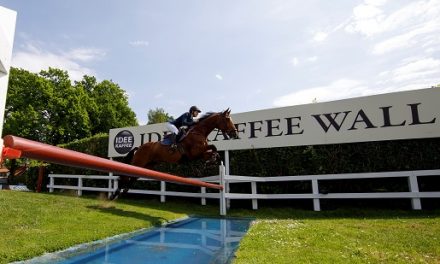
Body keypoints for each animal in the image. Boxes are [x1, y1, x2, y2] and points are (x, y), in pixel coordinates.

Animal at [111, 108, 239, 199]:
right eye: (227, 119)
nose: (235, 134)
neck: (199, 132)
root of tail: (139, 147)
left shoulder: (199, 153)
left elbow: (213, 151)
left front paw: (211, 160)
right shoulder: (194, 153)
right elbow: (213, 147)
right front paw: (211, 160)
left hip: (148, 165)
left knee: (133, 177)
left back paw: (123, 192)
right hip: (139, 162)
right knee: (126, 175)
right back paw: (115, 194)